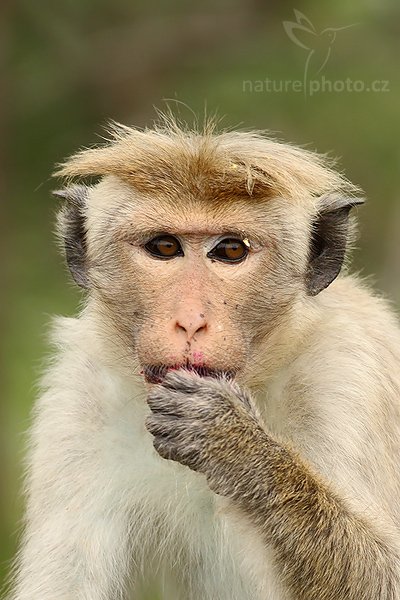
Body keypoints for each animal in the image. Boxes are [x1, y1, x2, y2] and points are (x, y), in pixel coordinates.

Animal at [4, 117, 400, 600]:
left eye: (231, 250)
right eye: (164, 247)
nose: (191, 321)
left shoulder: (344, 376)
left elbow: (386, 573)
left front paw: (232, 442)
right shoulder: (80, 395)